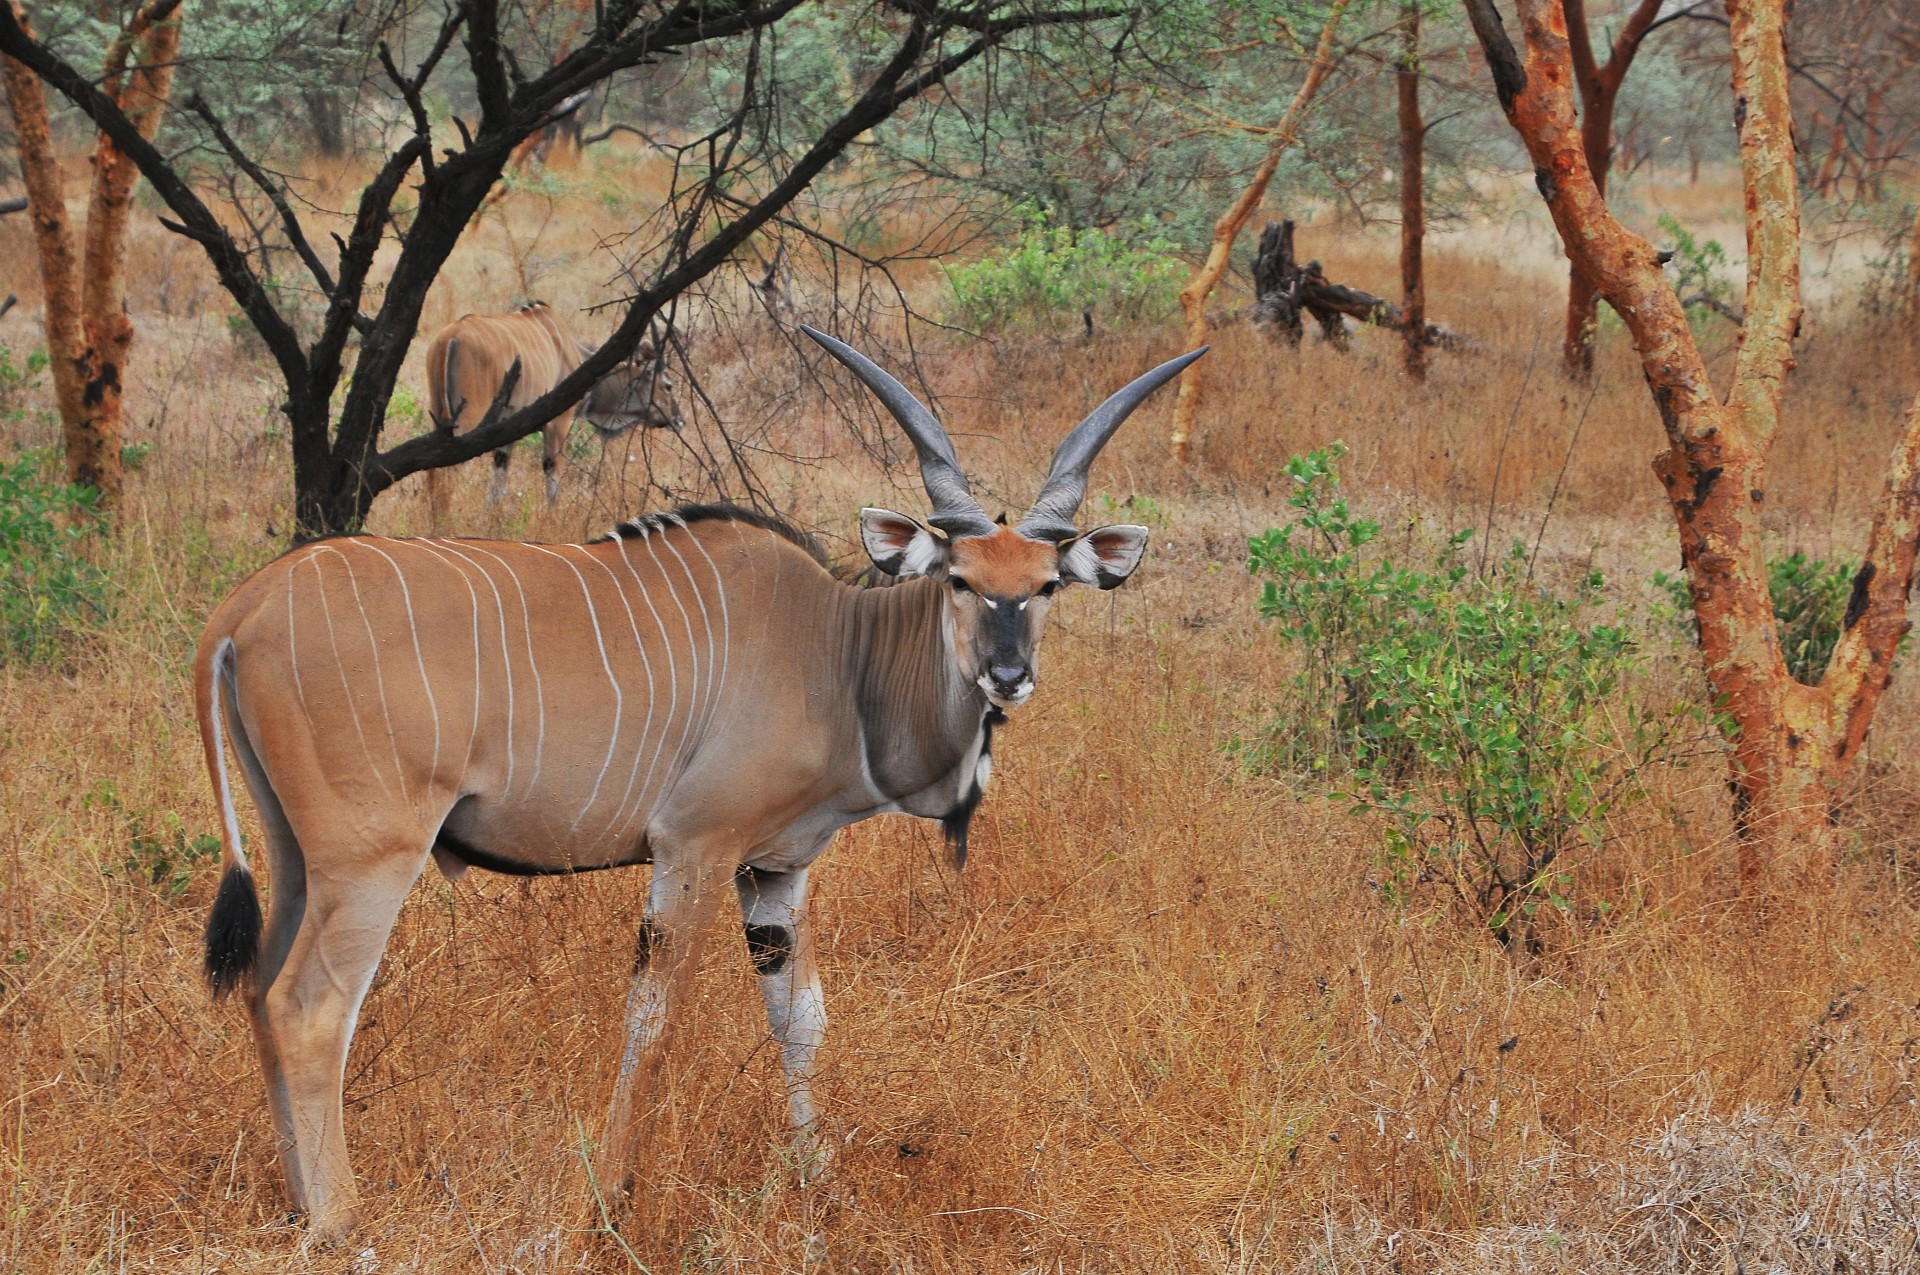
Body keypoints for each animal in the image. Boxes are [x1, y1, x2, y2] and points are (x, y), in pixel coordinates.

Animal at [195, 326, 1204, 1241]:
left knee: (259, 990)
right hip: (372, 857)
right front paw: (607, 1201)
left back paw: (297, 1202)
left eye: (1046, 583)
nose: (1007, 672)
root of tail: (244, 608)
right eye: (958, 577)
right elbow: (653, 1019)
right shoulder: (695, 847)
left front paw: (819, 1187)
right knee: (309, 1006)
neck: (838, 650)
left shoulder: (776, 870)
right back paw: (341, 1220)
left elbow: (799, 1021)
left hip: (297, 856)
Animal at [422, 301, 682, 520]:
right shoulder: (559, 422)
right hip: (468, 419)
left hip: (440, 416)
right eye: (668, 385)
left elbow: (499, 485)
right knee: (446, 470)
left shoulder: (506, 431)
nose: (679, 419)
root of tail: (449, 337)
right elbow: (553, 477)